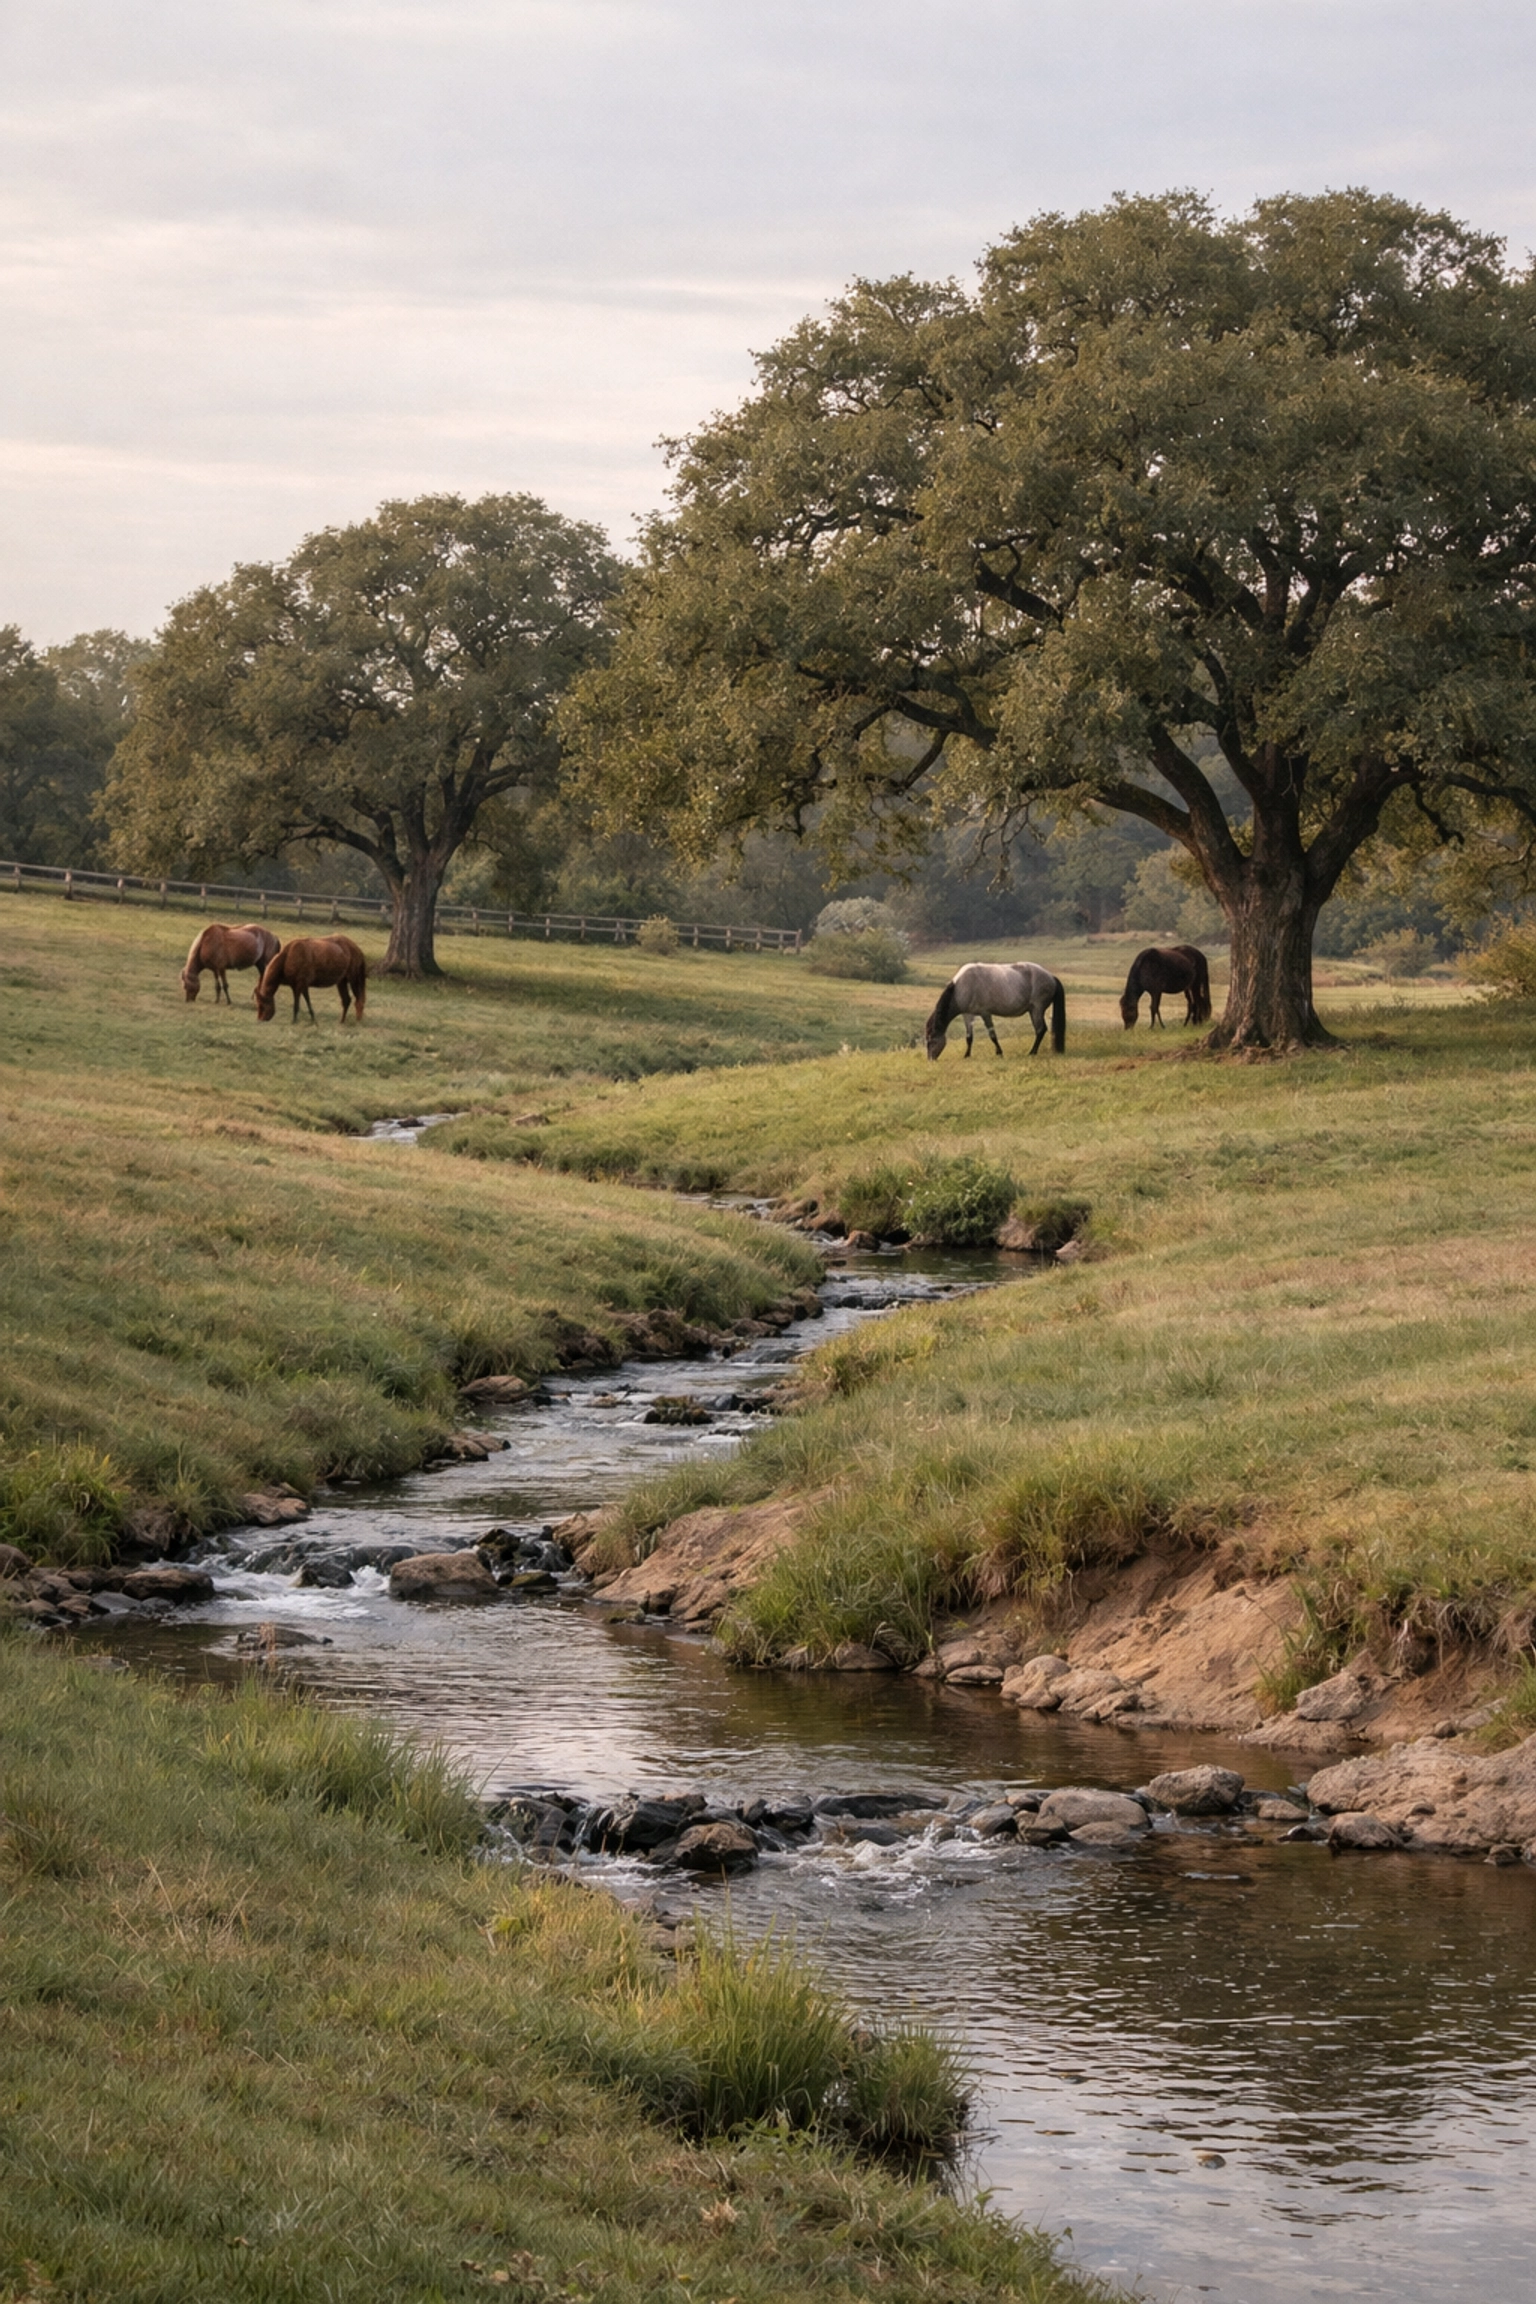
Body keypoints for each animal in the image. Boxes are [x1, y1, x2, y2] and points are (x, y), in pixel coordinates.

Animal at [925, 961, 1066, 1059]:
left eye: (931, 1041)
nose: (931, 1059)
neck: (960, 988)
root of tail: (1051, 977)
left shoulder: (985, 1014)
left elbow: (992, 1035)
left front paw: (999, 1052)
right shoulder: (968, 1014)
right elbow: (969, 1037)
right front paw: (967, 1055)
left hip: (1037, 1009)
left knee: (1040, 1030)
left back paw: (1032, 1052)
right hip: (1033, 1011)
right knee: (1040, 1030)